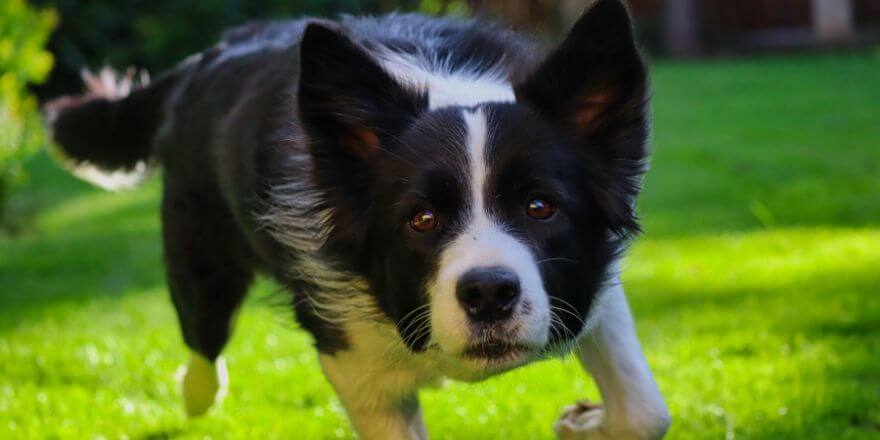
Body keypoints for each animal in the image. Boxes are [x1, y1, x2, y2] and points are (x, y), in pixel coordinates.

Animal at [46, 0, 668, 436]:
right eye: (421, 219)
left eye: (540, 207)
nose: (489, 294)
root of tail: (207, 58)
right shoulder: (351, 359)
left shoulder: (589, 285)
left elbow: (645, 412)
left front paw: (586, 421)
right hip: (200, 261)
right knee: (203, 343)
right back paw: (195, 393)